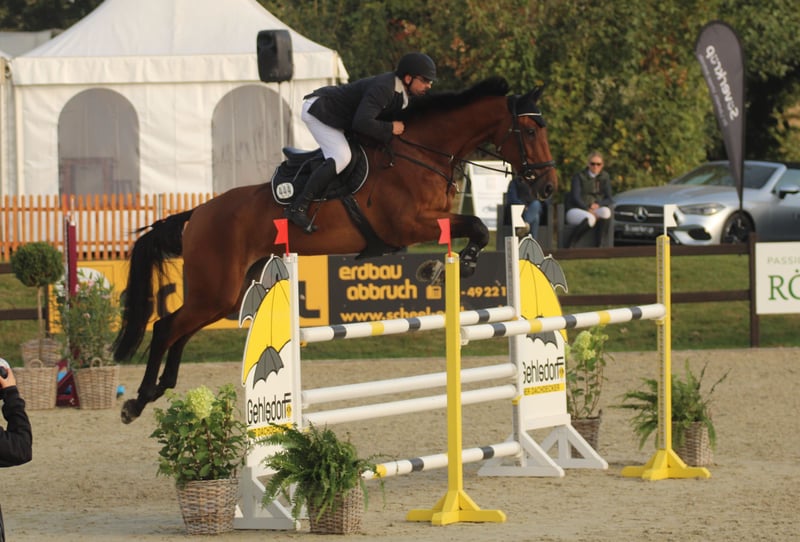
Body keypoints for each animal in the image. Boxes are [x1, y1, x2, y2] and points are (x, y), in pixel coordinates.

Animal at [113, 76, 557, 423]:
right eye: (529, 132)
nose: (548, 187)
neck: (421, 153)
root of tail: (198, 212)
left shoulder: (435, 219)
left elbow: (474, 229)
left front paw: (444, 267)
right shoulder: (409, 224)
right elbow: (478, 225)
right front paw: (449, 266)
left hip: (227, 293)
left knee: (180, 329)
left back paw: (160, 388)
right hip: (216, 287)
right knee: (165, 327)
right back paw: (137, 401)